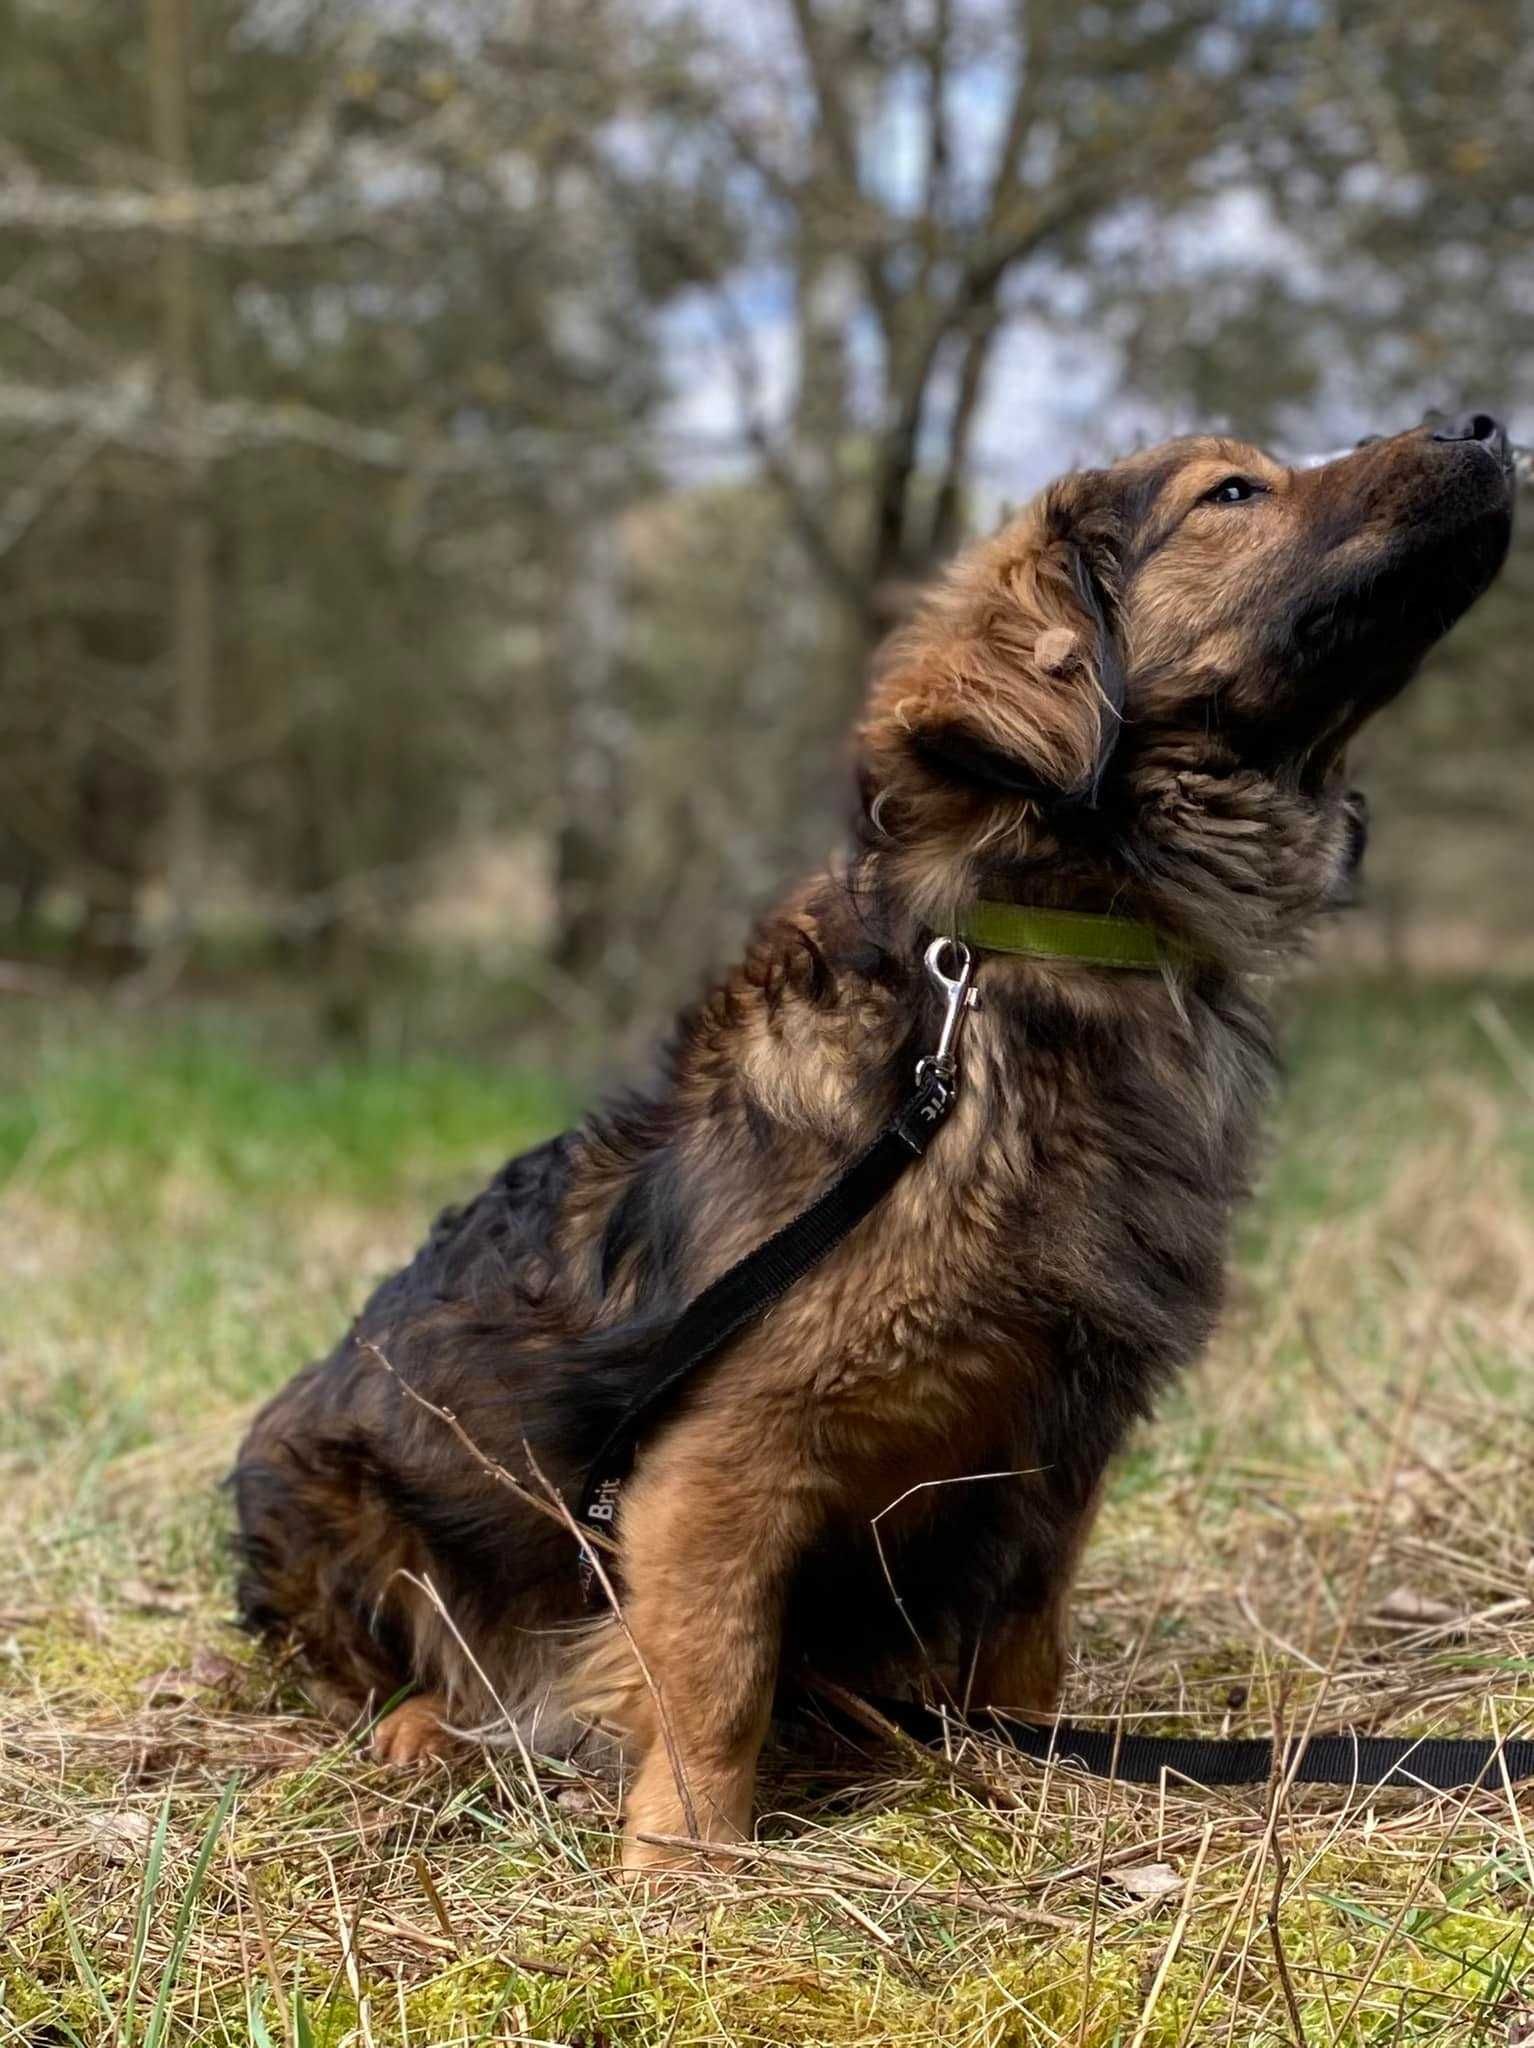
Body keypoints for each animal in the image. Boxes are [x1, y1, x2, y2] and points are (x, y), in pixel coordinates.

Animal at [233, 411, 1515, 1875]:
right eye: (1232, 491)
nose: (1482, 425)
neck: (1044, 973)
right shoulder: (724, 1460)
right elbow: (715, 1678)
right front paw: (687, 1869)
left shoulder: (1053, 1453)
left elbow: (1023, 1646)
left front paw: (1016, 1781)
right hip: (320, 1493)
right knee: (399, 1667)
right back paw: (421, 1731)